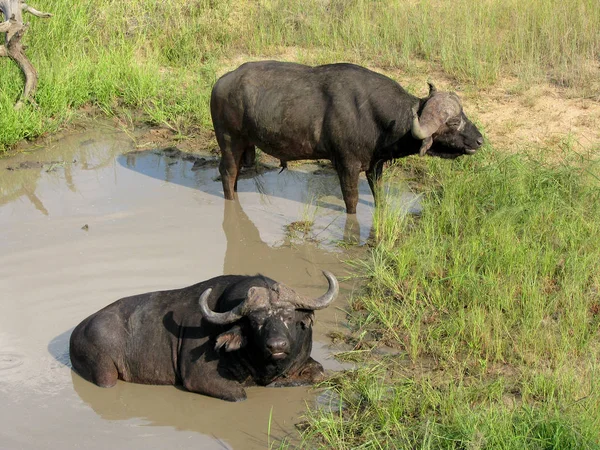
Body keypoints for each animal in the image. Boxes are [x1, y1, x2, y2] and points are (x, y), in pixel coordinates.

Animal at [69, 270, 338, 400]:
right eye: (255, 321)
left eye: (289, 317)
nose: (277, 345)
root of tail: (78, 331)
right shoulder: (199, 378)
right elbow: (240, 394)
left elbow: (318, 372)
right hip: (105, 374)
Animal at [211, 61, 482, 214]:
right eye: (453, 122)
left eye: (464, 114)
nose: (480, 140)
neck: (376, 117)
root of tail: (221, 82)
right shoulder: (347, 165)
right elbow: (351, 201)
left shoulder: (375, 165)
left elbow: (378, 194)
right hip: (230, 142)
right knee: (227, 172)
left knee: (235, 175)